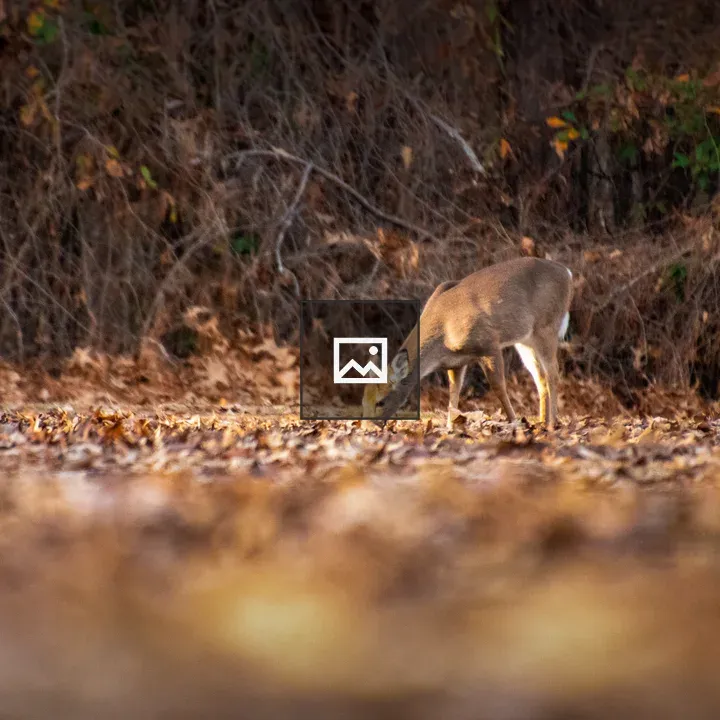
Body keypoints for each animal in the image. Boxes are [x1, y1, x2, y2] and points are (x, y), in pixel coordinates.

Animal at [362, 257, 573, 430]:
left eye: (381, 401)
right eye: (363, 400)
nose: (367, 427)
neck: (443, 332)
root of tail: (567, 273)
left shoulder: (489, 343)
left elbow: (498, 386)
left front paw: (514, 422)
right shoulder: (456, 362)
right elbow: (453, 393)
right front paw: (449, 427)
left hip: (546, 326)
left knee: (553, 373)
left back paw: (552, 423)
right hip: (525, 340)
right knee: (540, 377)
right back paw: (542, 421)